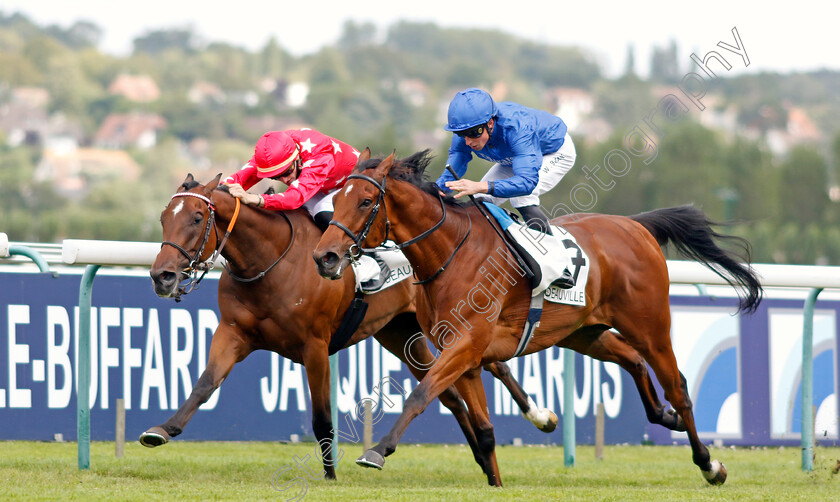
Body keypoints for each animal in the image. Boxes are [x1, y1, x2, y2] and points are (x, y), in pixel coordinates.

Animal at [141, 175, 556, 480]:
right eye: (163, 218)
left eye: (197, 218)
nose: (162, 276)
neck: (269, 261)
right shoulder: (232, 333)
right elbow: (204, 384)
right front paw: (161, 430)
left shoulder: (314, 346)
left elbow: (322, 417)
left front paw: (330, 475)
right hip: (400, 333)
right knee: (451, 394)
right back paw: (483, 458)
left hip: (447, 327)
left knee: (492, 366)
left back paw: (540, 417)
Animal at [312, 150, 764, 486]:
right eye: (336, 201)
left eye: (365, 201)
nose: (324, 257)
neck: (451, 254)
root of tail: (636, 227)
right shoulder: (465, 356)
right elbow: (485, 430)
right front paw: (495, 483)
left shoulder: (466, 346)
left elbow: (420, 394)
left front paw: (377, 450)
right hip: (584, 332)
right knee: (633, 361)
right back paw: (664, 417)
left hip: (650, 326)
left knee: (678, 387)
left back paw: (709, 464)